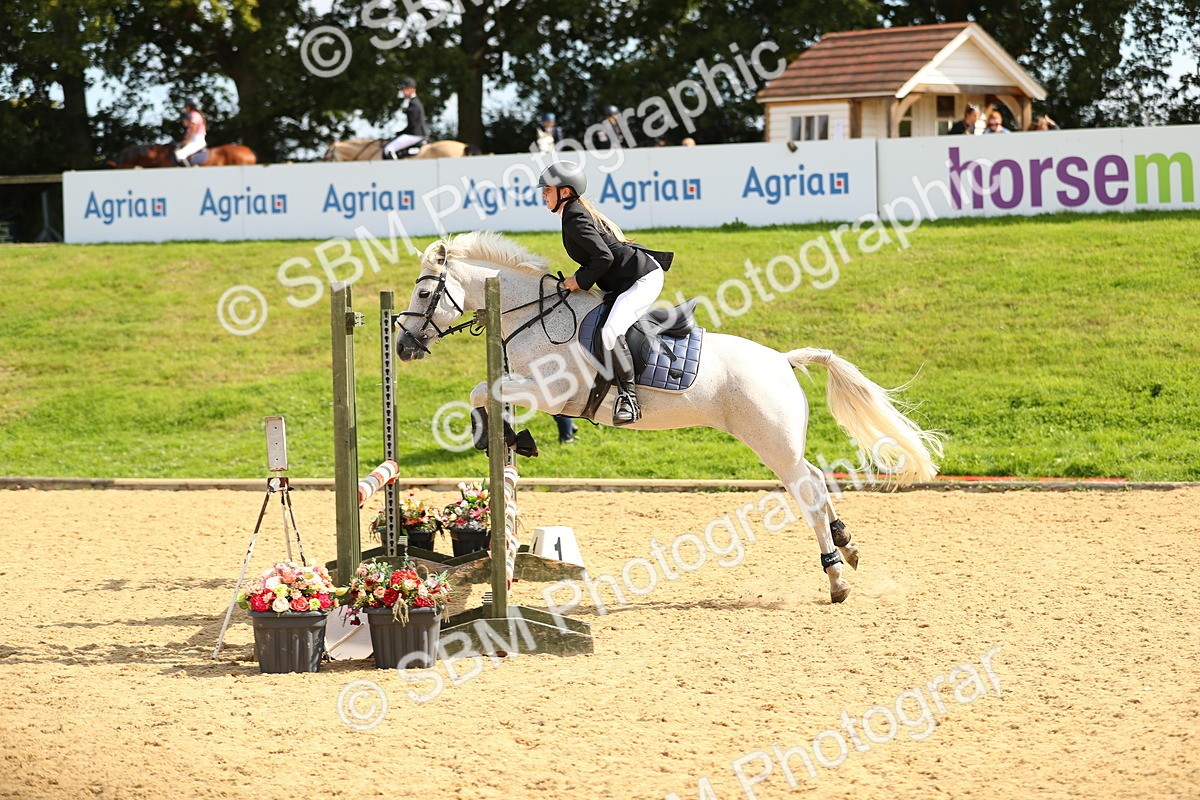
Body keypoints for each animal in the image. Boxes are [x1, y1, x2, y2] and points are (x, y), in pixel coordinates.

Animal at [394, 231, 945, 604]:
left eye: (423, 294)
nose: (402, 348)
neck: (534, 315)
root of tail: (782, 360)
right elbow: (486, 394)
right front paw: (508, 436)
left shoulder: (553, 395)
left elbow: (483, 389)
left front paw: (502, 435)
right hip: (781, 442)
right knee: (815, 477)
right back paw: (846, 545)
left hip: (770, 442)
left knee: (805, 489)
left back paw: (836, 576)